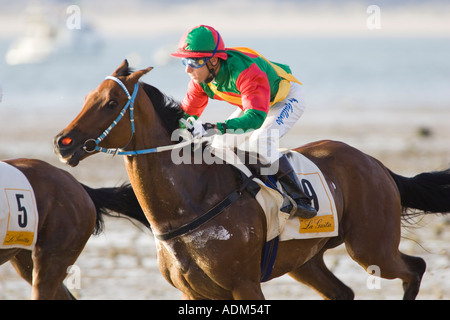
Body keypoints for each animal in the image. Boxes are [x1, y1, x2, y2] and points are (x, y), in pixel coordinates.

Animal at [54, 60, 450, 300]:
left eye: (110, 103)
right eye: (88, 97)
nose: (63, 142)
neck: (190, 202)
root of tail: (376, 165)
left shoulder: (244, 285)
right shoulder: (193, 291)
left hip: (371, 247)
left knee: (414, 268)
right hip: (307, 261)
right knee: (344, 292)